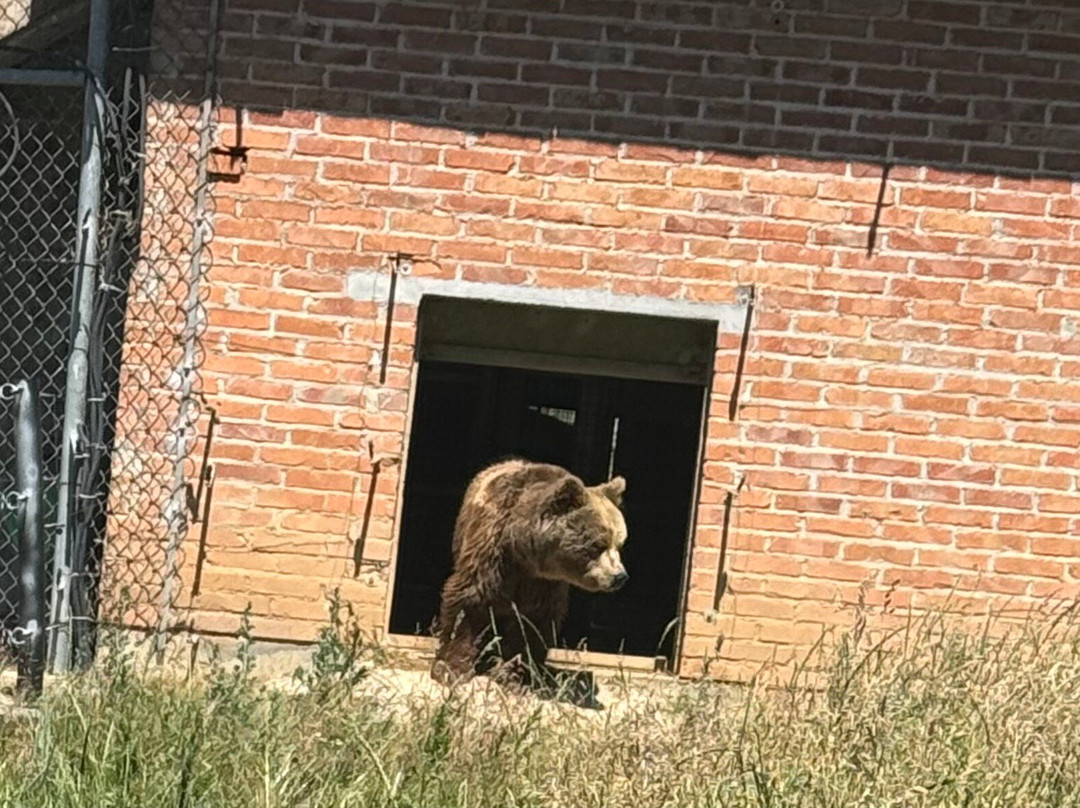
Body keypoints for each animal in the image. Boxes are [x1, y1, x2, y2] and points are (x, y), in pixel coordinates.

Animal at [430, 459, 629, 691]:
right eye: (598, 545)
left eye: (620, 543)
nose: (619, 576)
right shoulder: (492, 554)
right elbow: (471, 603)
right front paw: (451, 669)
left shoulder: (545, 584)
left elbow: (532, 625)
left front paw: (514, 675)